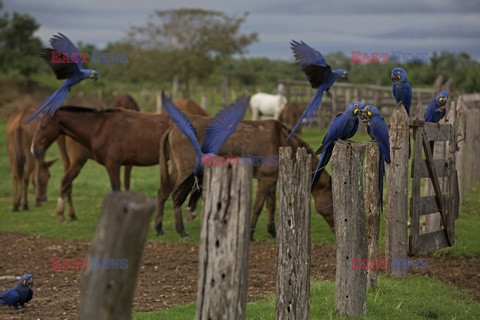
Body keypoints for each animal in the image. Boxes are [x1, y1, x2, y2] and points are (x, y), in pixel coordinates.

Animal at [158, 117, 334, 238]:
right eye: (332, 202)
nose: (335, 229)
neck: (281, 139)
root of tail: (172, 128)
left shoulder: (271, 180)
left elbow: (271, 205)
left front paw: (273, 231)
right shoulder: (265, 179)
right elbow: (258, 207)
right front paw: (250, 233)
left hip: (176, 170)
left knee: (164, 193)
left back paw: (159, 228)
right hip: (186, 171)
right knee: (175, 196)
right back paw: (181, 230)